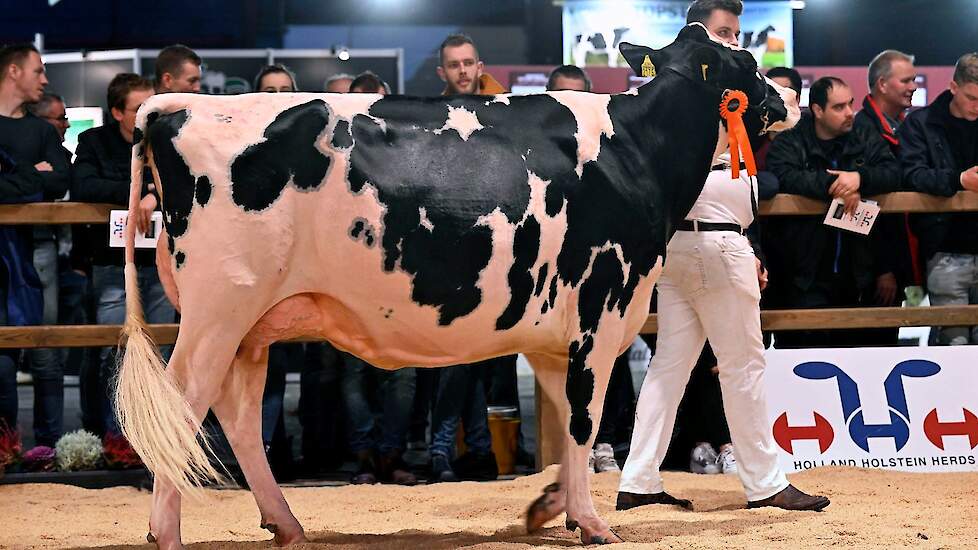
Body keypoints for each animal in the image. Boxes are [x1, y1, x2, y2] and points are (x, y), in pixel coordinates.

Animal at [114, 23, 796, 548]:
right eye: (745, 61)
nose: (789, 95)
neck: (634, 151)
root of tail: (172, 105)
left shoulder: (554, 332)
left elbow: (563, 421)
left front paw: (551, 507)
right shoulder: (601, 311)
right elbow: (585, 420)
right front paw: (594, 523)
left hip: (253, 325)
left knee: (238, 415)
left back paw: (285, 524)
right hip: (219, 310)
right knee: (180, 406)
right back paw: (166, 532)